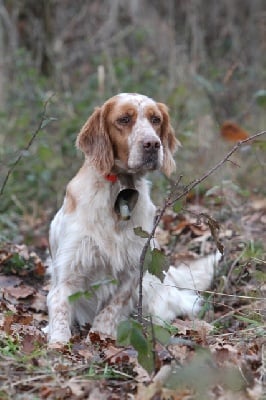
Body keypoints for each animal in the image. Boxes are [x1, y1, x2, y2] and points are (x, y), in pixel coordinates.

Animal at [46, 94, 216, 344]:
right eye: (124, 119)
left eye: (156, 119)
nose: (153, 144)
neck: (119, 189)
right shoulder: (68, 272)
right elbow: (59, 308)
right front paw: (58, 343)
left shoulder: (134, 268)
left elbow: (112, 308)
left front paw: (100, 335)